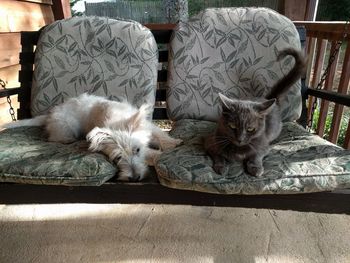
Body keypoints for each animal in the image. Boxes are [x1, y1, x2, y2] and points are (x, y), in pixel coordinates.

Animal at [4, 94, 182, 183]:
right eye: (117, 157)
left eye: (137, 150)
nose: (134, 178)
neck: (117, 121)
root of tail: (49, 114)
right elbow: (152, 153)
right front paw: (157, 154)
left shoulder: (149, 127)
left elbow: (160, 135)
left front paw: (173, 143)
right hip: (67, 125)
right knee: (56, 138)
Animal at [204, 48, 308, 178]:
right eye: (232, 126)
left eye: (250, 129)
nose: (240, 139)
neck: (239, 149)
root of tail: (268, 99)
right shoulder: (210, 142)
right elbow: (218, 155)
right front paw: (221, 167)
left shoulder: (263, 145)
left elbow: (256, 155)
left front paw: (256, 168)